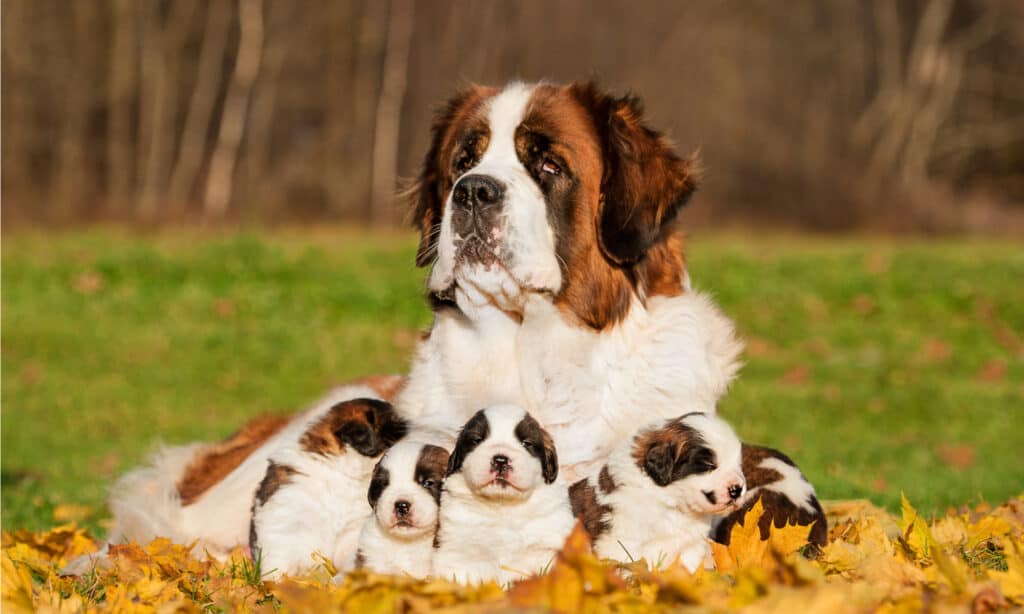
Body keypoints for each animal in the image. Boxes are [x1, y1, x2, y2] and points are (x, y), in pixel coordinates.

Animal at [432, 407, 577, 585]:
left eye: (526, 443)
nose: (500, 460)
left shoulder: (545, 550)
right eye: (477, 440)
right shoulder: (459, 552)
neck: (503, 506)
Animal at [569, 409, 745, 573]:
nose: (737, 489)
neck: (672, 503)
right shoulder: (621, 542)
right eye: (708, 465)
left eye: (738, 464)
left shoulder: (691, 545)